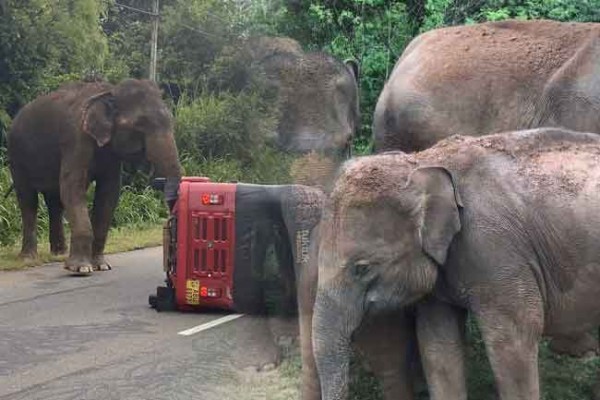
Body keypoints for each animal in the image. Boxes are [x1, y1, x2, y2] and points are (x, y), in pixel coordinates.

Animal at [7, 78, 180, 276]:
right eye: (140, 125)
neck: (110, 91)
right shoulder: (75, 138)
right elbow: (72, 186)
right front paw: (80, 268)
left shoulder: (111, 154)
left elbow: (109, 193)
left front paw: (101, 266)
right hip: (17, 157)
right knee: (28, 200)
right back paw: (29, 258)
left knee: (55, 202)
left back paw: (59, 254)